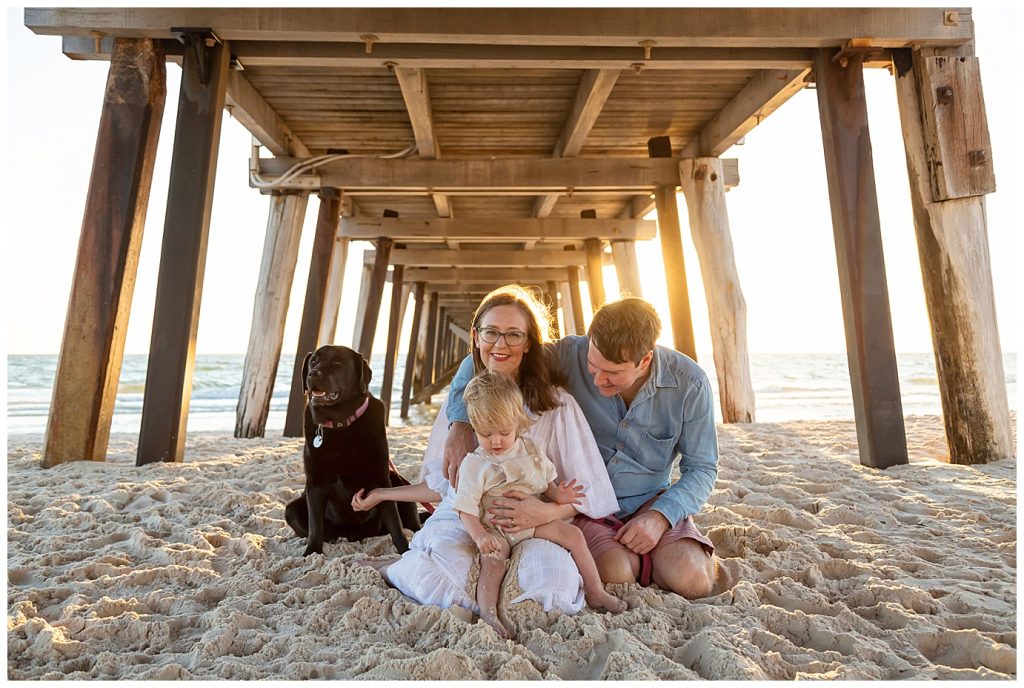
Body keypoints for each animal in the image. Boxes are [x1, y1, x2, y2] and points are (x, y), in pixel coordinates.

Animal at [282, 346, 417, 556]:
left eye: (337, 363)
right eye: (313, 362)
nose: (313, 374)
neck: (340, 425)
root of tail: (355, 534)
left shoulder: (381, 478)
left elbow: (396, 524)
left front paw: (405, 551)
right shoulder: (314, 483)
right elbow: (315, 526)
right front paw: (311, 553)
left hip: (397, 480)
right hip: (292, 508)